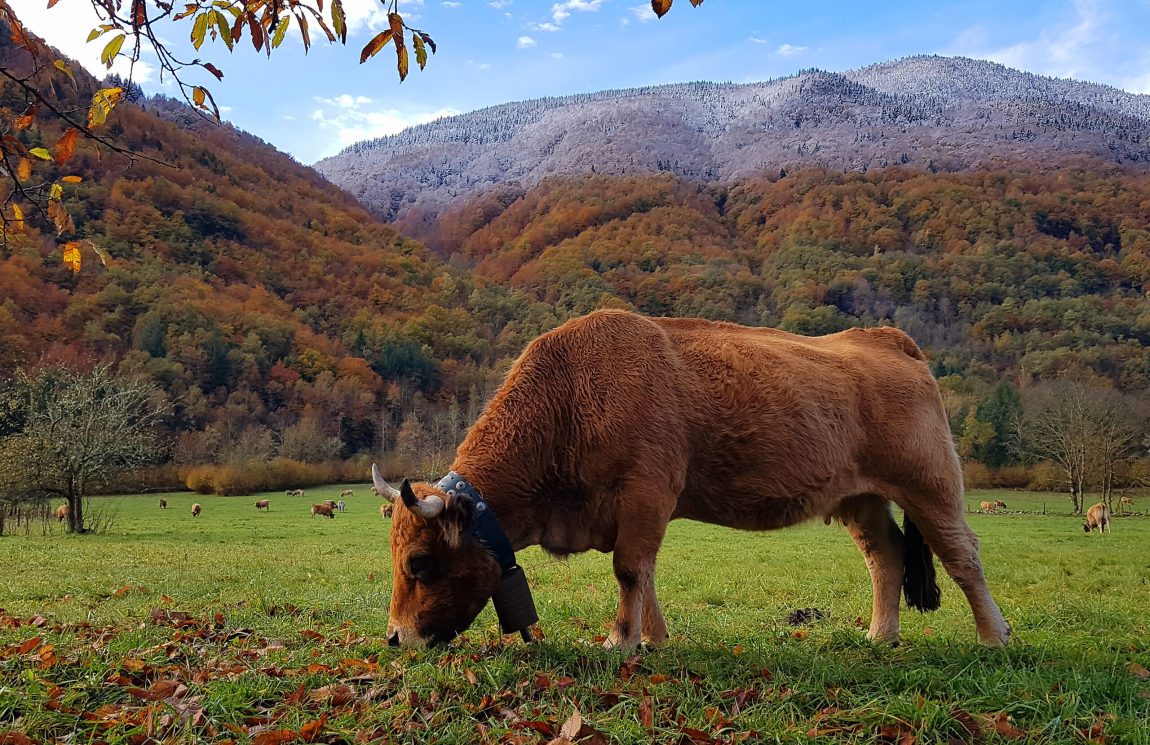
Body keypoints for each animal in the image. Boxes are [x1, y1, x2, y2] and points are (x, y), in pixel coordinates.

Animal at [374, 310, 1010, 650]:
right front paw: (652, 640)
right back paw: (881, 636)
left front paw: (620, 640)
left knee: (963, 555)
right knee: (886, 555)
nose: (395, 637)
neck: (572, 395)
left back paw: (994, 636)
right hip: (862, 498)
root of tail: (887, 338)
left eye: (419, 563)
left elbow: (630, 570)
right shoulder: (640, 511)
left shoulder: (645, 492)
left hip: (932, 487)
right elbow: (645, 574)